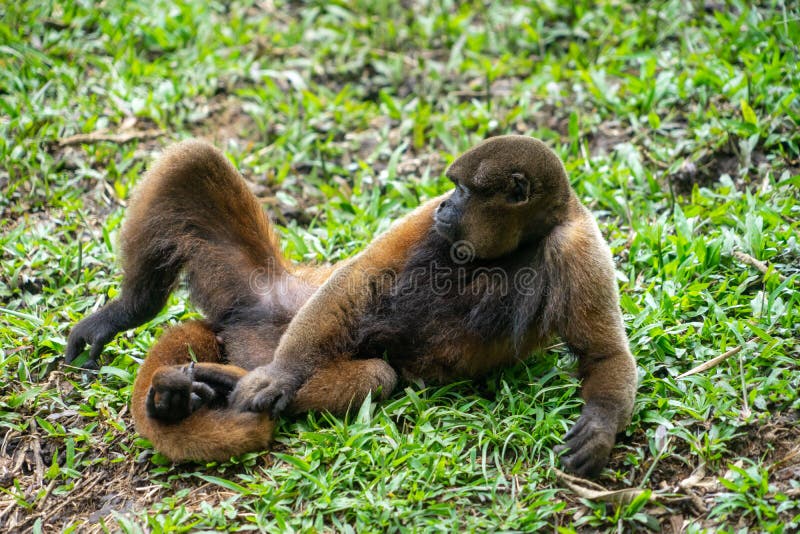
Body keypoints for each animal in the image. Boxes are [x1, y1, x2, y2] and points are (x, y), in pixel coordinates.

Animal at [66, 135, 637, 477]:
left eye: (465, 190)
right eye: (451, 188)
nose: (447, 204)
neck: (518, 243)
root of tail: (238, 327)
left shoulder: (579, 246)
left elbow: (605, 355)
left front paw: (601, 426)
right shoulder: (425, 218)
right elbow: (359, 279)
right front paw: (281, 376)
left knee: (377, 375)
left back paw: (201, 391)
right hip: (263, 291)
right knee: (193, 160)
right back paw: (131, 314)